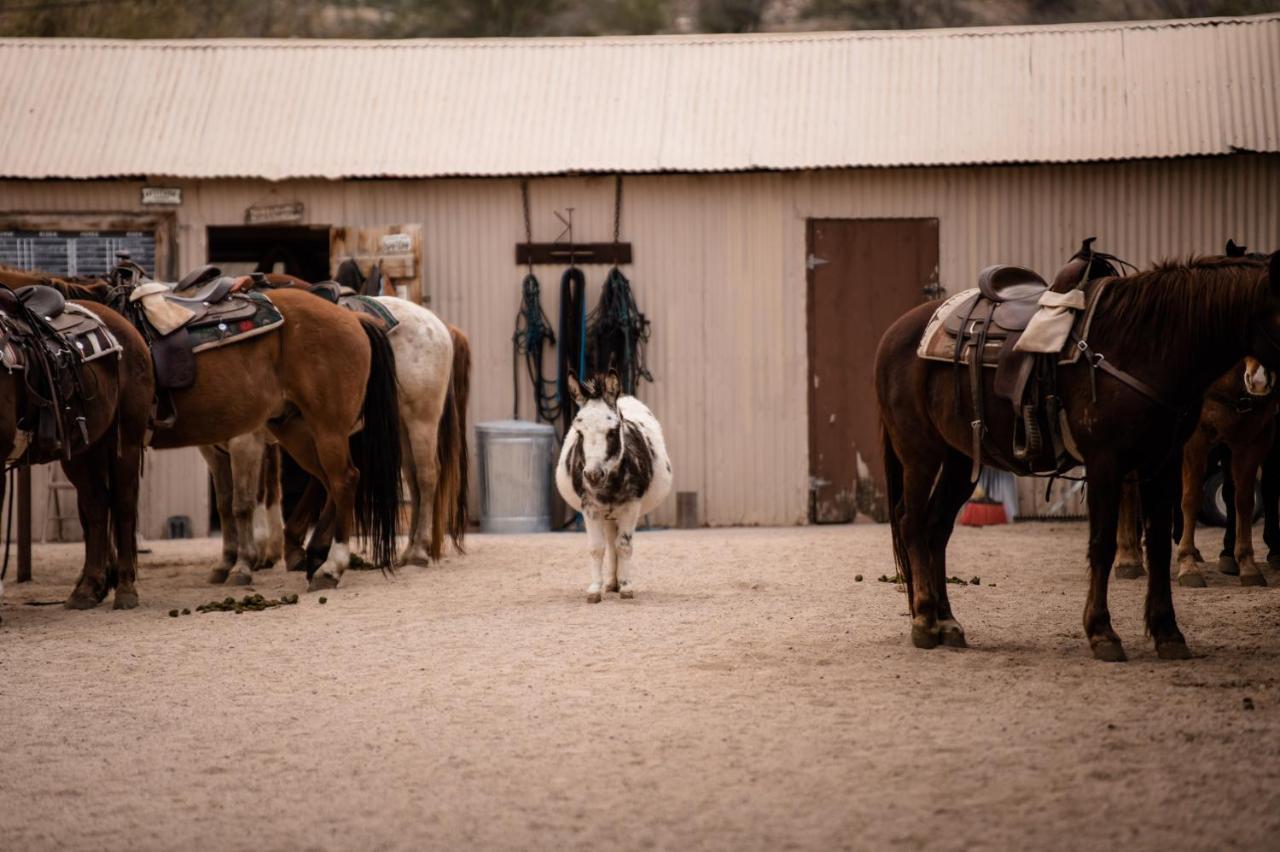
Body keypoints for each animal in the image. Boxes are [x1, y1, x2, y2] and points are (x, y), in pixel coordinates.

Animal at [555, 368, 675, 601]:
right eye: (579, 432)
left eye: (612, 431)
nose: (592, 475)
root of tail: (624, 396)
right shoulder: (590, 508)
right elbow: (596, 548)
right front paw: (595, 589)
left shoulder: (631, 506)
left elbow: (625, 545)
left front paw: (627, 587)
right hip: (607, 515)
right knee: (610, 544)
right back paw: (611, 583)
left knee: (616, 543)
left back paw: (618, 582)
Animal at [875, 249, 1280, 660]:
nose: (1261, 382)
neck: (1145, 344)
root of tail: (897, 332)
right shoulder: (1106, 461)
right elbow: (1101, 544)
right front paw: (1102, 632)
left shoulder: (1162, 463)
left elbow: (1159, 548)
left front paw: (1168, 632)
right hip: (920, 455)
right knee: (912, 523)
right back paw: (924, 621)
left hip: (958, 459)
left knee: (936, 528)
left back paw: (947, 622)